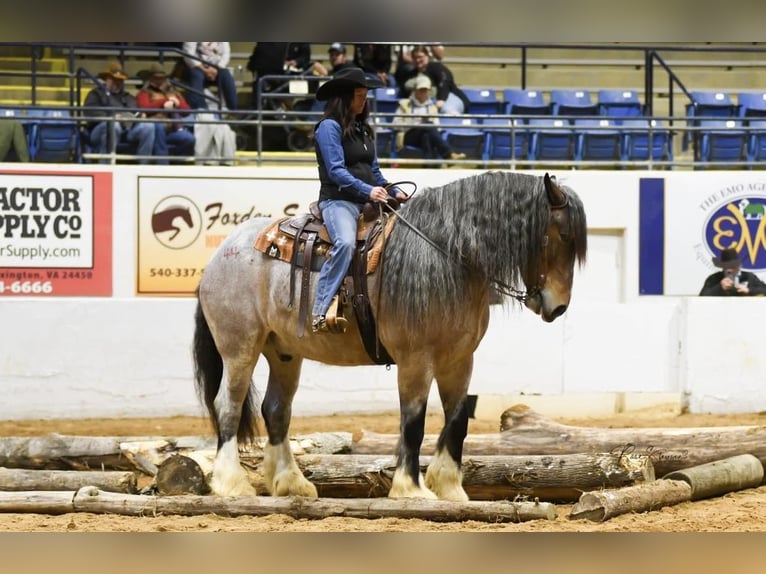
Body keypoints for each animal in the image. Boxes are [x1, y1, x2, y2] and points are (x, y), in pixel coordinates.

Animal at [192, 170, 588, 500]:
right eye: (563, 236)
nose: (558, 307)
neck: (446, 257)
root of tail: (221, 255)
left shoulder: (460, 361)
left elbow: (457, 422)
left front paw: (449, 488)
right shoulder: (416, 361)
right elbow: (413, 424)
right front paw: (411, 489)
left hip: (284, 353)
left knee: (276, 410)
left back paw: (291, 483)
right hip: (239, 349)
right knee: (228, 406)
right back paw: (232, 484)